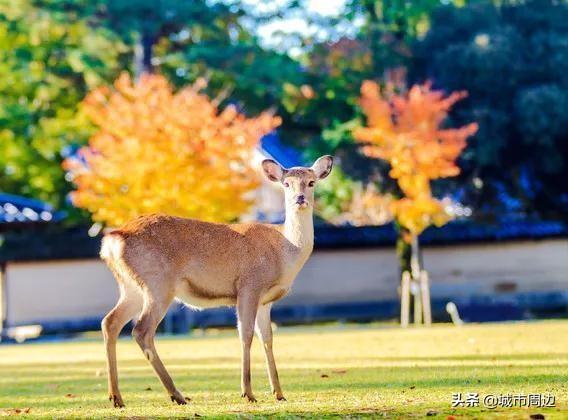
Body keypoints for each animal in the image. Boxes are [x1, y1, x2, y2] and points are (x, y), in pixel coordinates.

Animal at [100, 154, 336, 406]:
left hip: (132, 288)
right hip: (158, 283)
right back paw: (177, 395)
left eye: (311, 182)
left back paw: (116, 397)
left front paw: (279, 393)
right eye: (286, 183)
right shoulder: (249, 286)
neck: (285, 252)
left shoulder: (266, 301)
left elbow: (268, 338)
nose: (300, 199)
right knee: (141, 330)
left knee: (110, 322)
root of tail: (113, 241)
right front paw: (248, 392)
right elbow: (246, 335)